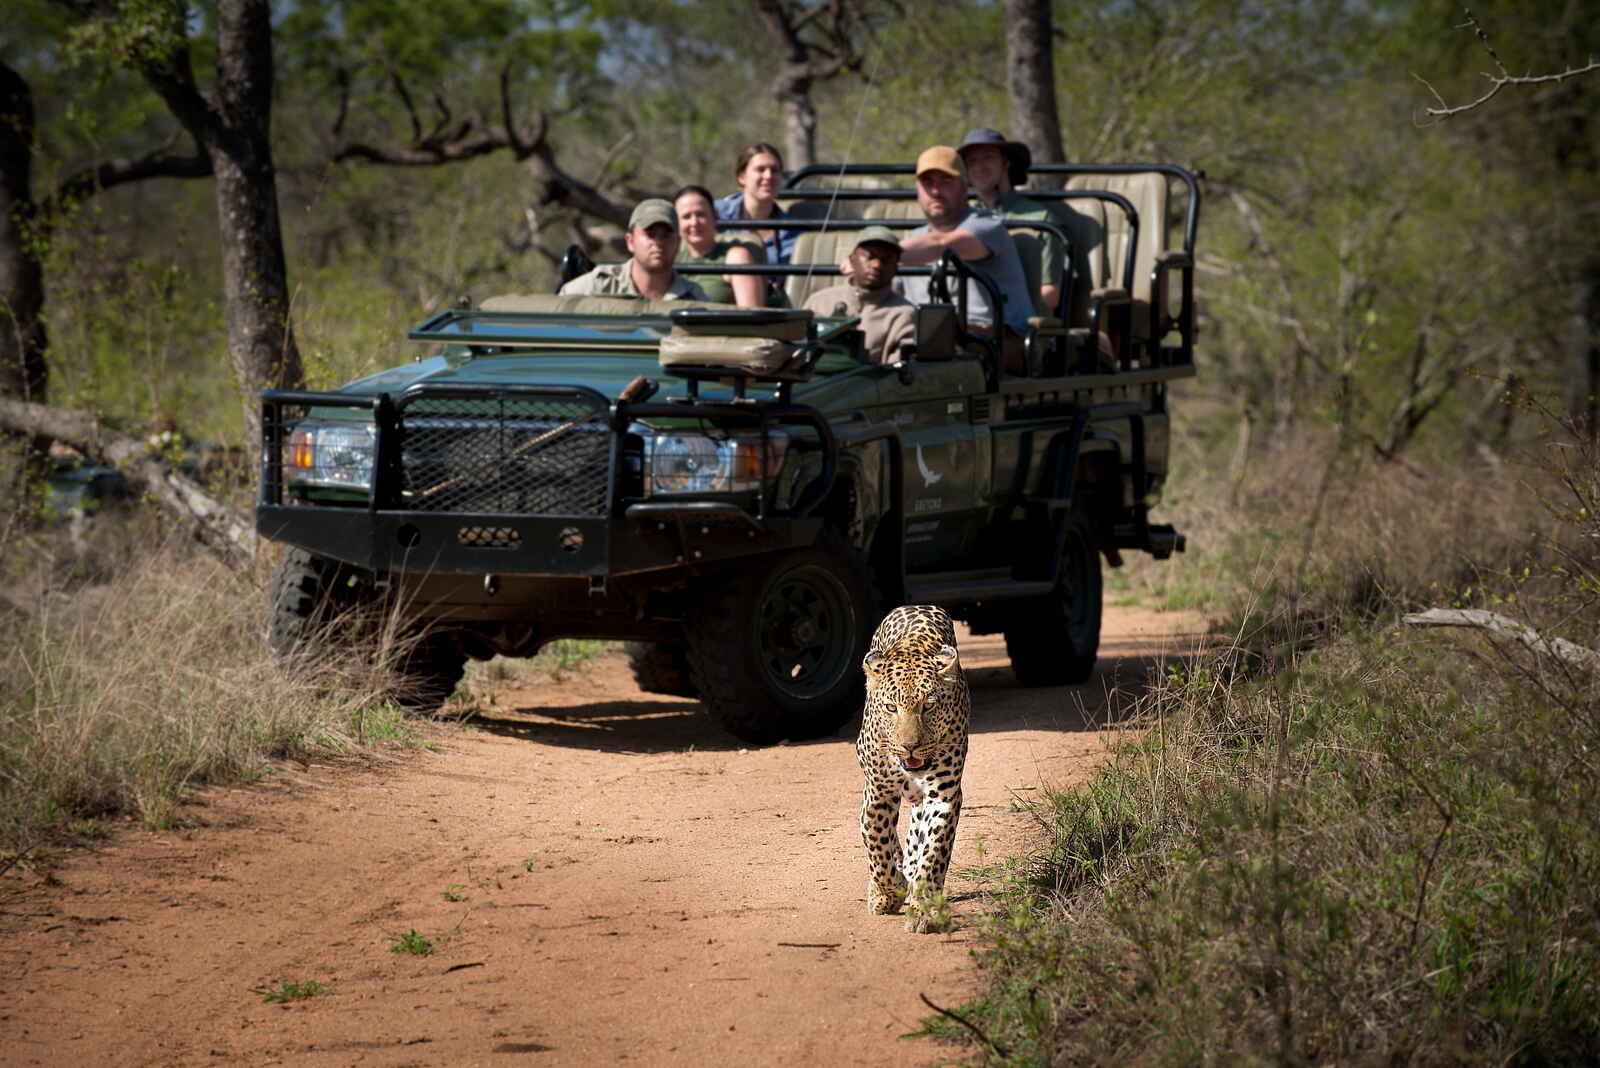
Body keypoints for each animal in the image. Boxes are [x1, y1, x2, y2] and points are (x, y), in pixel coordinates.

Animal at [855, 604, 970, 933]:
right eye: (891, 707)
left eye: (928, 706)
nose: (909, 746)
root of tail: (913, 605)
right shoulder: (878, 792)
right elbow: (876, 843)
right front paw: (888, 891)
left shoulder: (943, 796)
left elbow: (933, 852)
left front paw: (924, 910)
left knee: (916, 834)